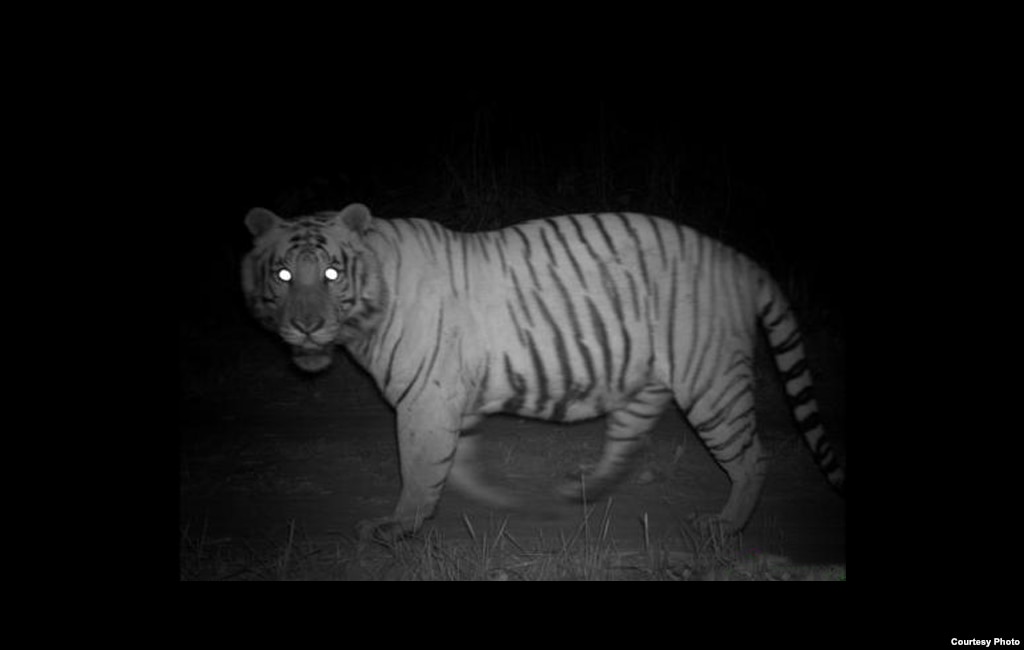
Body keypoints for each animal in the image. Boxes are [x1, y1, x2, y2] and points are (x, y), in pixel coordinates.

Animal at [241, 202, 845, 541]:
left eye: (333, 273)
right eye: (285, 274)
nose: (307, 328)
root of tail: (740, 261)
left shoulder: (425, 399)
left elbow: (417, 467)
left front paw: (398, 526)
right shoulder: (450, 401)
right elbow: (455, 465)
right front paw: (487, 500)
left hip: (711, 384)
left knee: (752, 458)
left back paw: (725, 526)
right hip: (647, 382)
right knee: (627, 442)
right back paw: (579, 489)